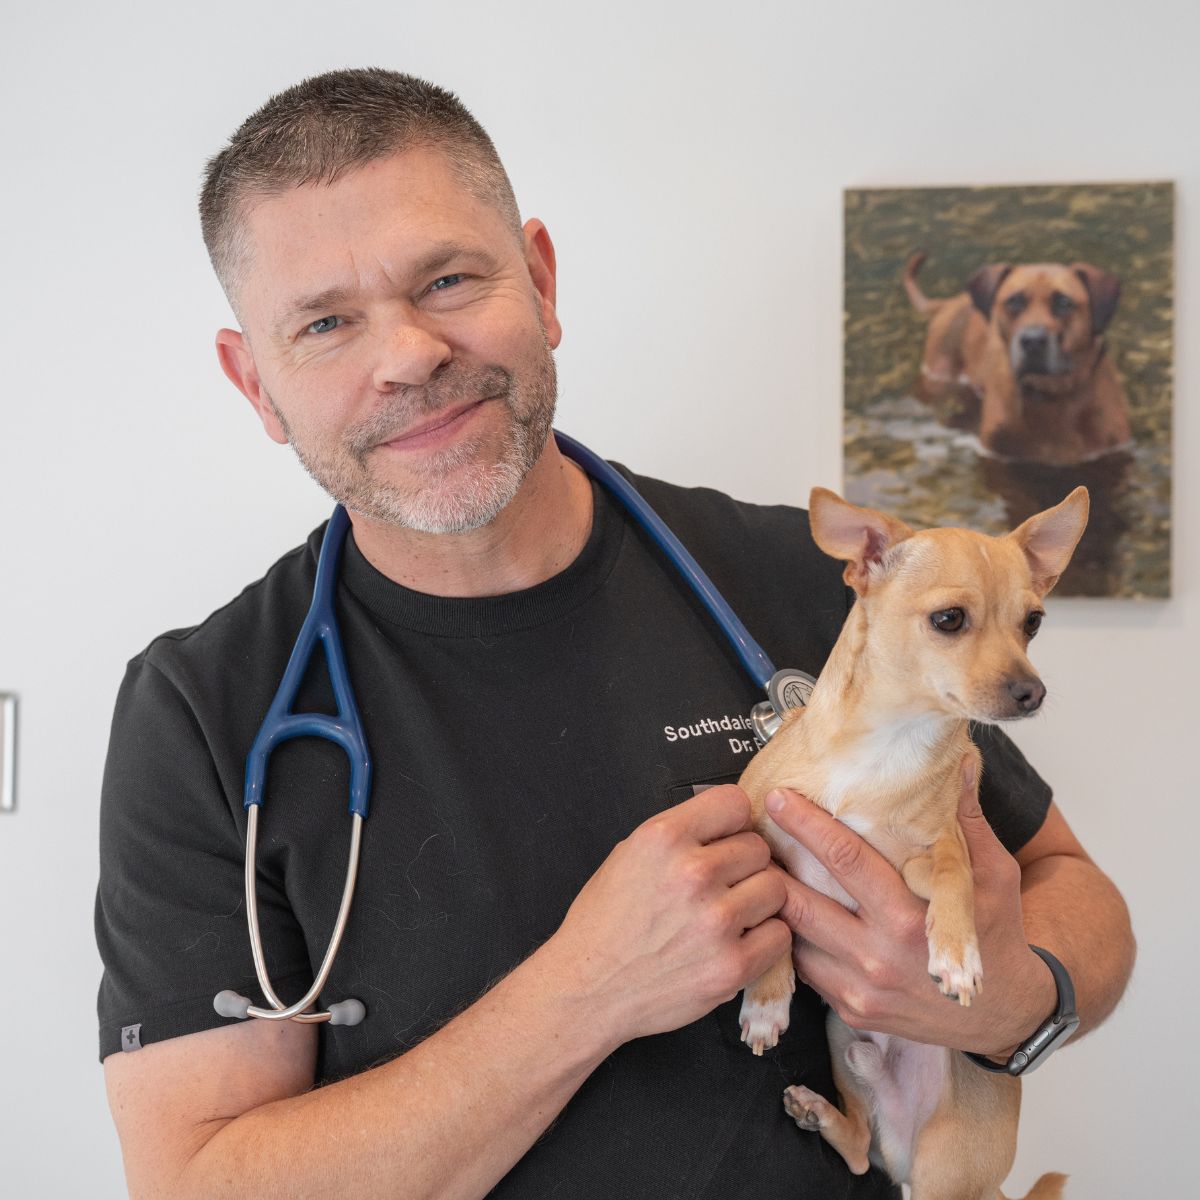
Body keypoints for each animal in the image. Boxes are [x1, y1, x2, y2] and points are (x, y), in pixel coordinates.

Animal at [734, 484, 1094, 1200]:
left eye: (1033, 623)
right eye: (949, 619)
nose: (1032, 691)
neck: (890, 741)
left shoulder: (936, 849)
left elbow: (956, 873)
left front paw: (957, 952)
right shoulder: (762, 830)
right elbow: (769, 908)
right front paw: (765, 999)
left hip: (942, 1174)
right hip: (843, 1038)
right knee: (857, 1150)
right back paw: (821, 1113)